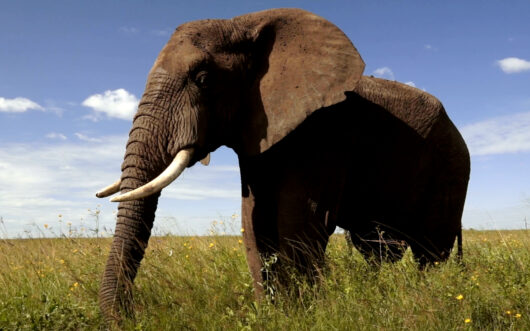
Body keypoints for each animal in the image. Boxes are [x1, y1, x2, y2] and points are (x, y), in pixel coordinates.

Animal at [95, 8, 466, 324]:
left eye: (202, 79)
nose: (129, 318)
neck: (245, 23)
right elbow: (254, 221)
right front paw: (273, 315)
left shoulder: (323, 131)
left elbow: (300, 219)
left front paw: (302, 316)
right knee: (375, 249)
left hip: (451, 168)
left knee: (429, 253)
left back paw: (426, 299)